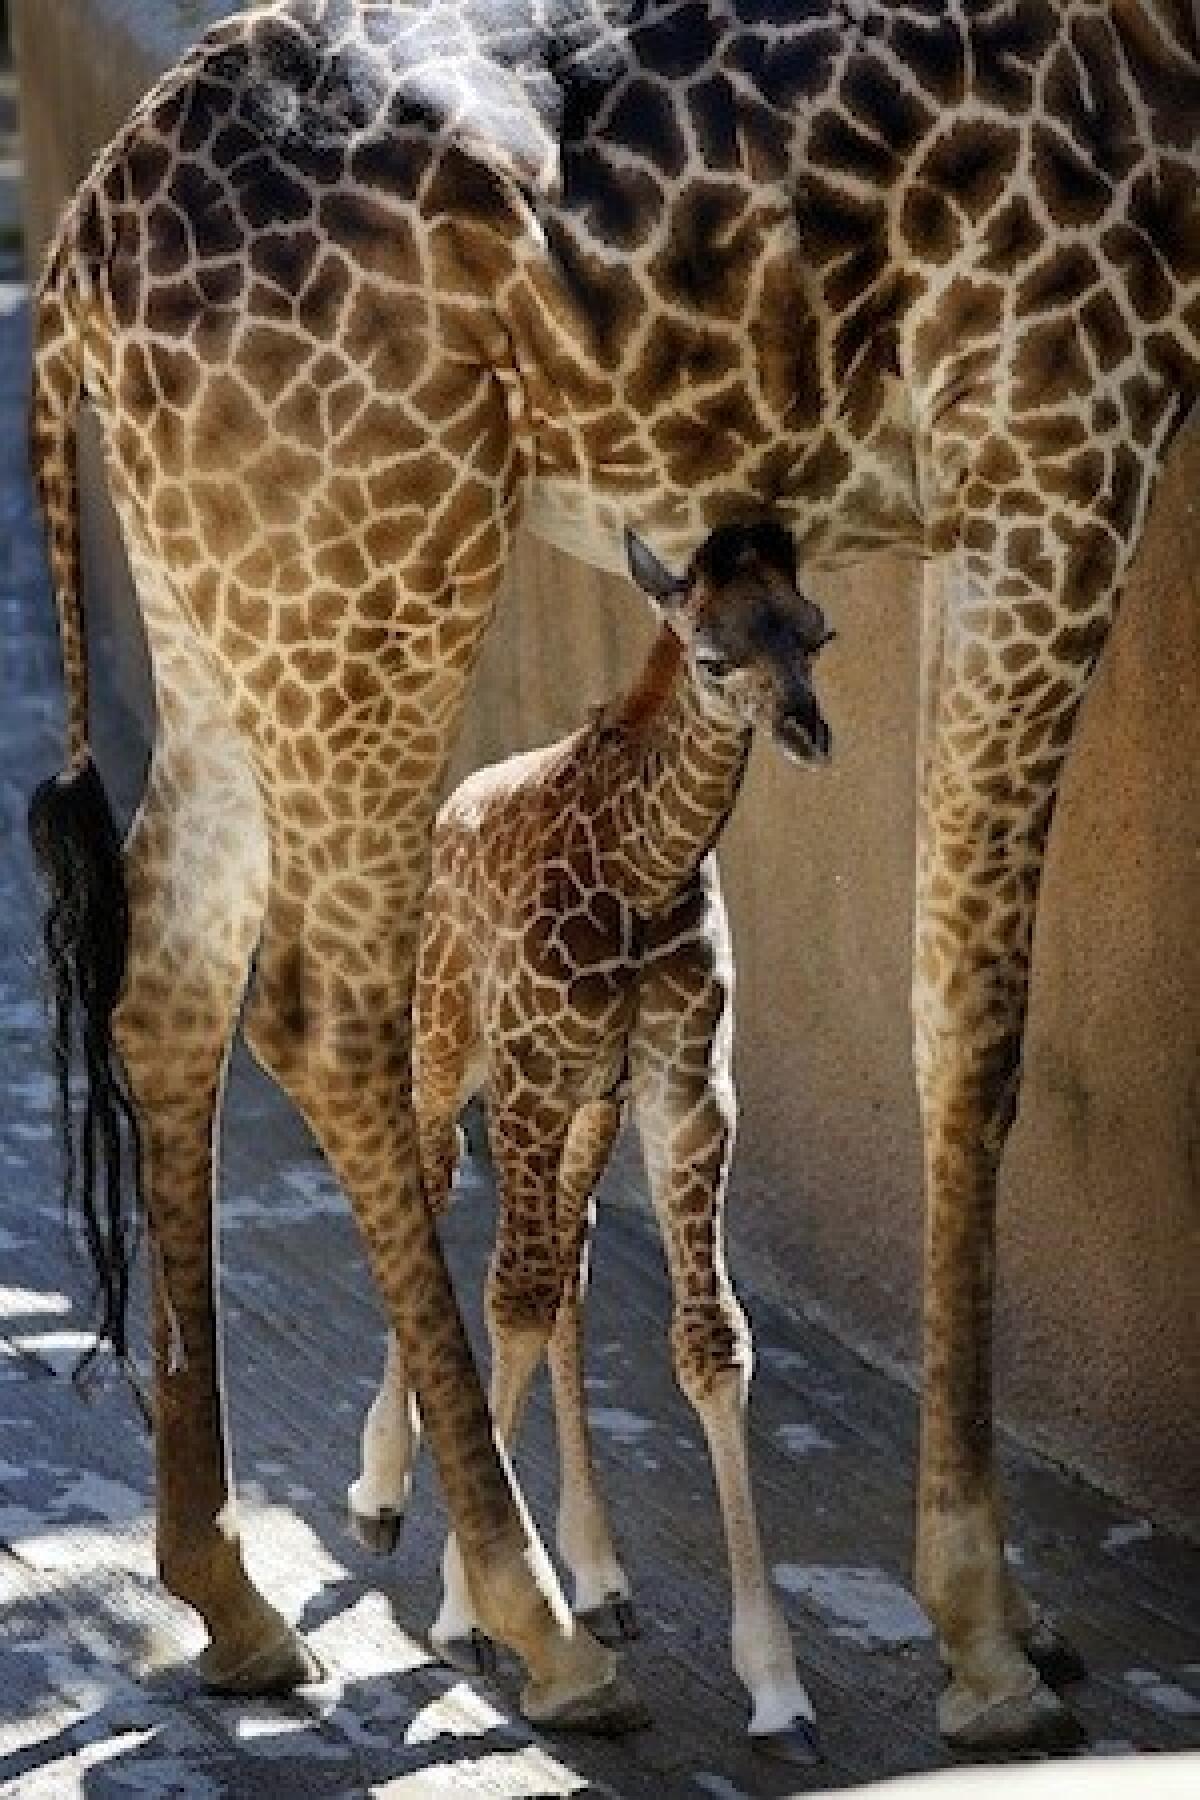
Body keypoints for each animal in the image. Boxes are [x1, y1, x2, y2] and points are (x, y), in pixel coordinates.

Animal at [349, 518, 834, 1756]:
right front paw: (474, 1611)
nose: (809, 730)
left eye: (815, 633)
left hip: (587, 1114)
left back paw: (599, 1574)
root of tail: (451, 802)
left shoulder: (683, 1096)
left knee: (566, 1267)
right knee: (433, 1198)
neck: (641, 868)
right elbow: (510, 1298)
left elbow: (708, 1338)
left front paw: (776, 1687)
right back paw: (379, 1493)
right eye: (711, 656)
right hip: (445, 1050)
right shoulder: (527, 1076)